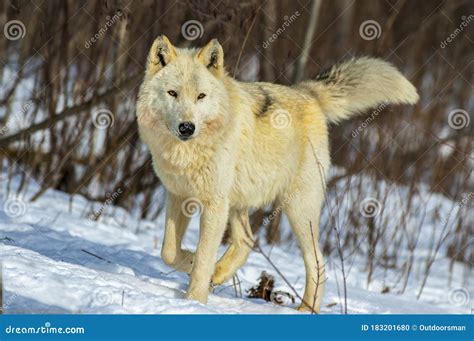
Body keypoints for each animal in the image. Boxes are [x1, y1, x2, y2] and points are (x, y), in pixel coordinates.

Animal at [135, 35, 416, 310]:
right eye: (172, 93)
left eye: (201, 96)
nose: (187, 127)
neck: (187, 152)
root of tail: (307, 92)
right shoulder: (179, 195)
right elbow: (168, 251)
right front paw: (193, 265)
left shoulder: (214, 204)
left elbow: (204, 256)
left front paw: (194, 300)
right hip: (239, 203)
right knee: (247, 241)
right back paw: (220, 273)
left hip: (298, 210)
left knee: (317, 261)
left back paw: (306, 309)